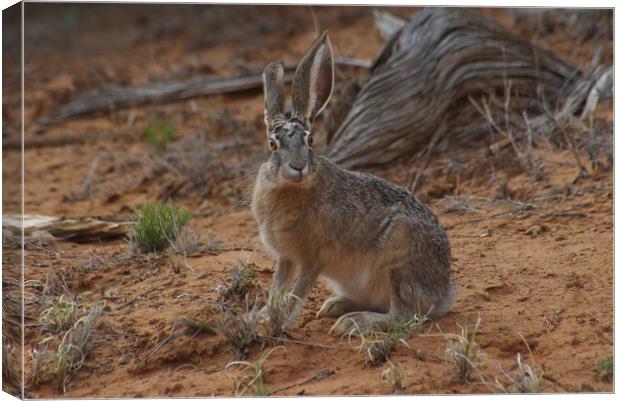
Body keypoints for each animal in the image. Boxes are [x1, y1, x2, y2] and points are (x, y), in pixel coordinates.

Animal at [252, 31, 456, 334]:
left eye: (310, 140)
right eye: (272, 145)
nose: (299, 167)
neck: (291, 188)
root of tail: (443, 293)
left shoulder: (313, 258)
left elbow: (297, 293)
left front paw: (282, 324)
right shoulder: (286, 258)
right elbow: (277, 289)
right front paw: (260, 317)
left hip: (396, 260)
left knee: (403, 315)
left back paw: (352, 322)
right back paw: (334, 306)